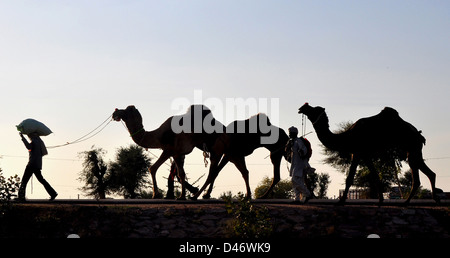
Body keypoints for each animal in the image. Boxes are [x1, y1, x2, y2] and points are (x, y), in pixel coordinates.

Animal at [298, 102, 442, 205]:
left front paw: (341, 201)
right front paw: (380, 200)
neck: (347, 137)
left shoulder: (357, 153)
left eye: (314, 109)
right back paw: (425, 200)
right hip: (413, 150)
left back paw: (408, 202)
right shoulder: (364, 154)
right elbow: (375, 175)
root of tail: (419, 134)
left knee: (419, 176)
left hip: (412, 148)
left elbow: (350, 178)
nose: (302, 107)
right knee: (427, 173)